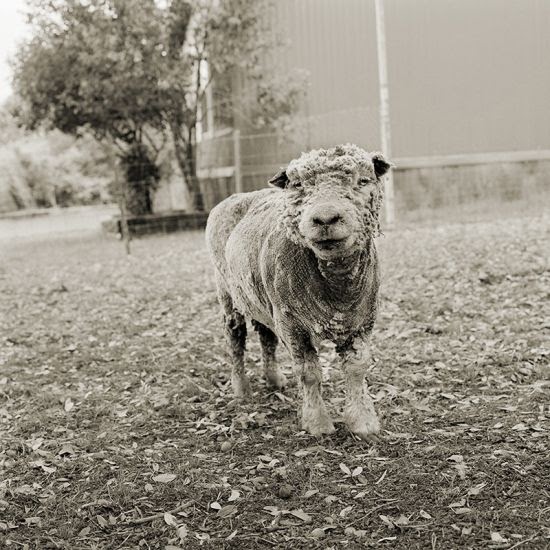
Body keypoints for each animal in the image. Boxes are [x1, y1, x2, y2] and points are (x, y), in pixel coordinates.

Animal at [206, 144, 392, 442]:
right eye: (298, 185)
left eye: (363, 181)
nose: (325, 218)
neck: (337, 290)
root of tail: (241, 195)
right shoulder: (293, 326)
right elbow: (309, 374)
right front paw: (317, 424)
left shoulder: (362, 321)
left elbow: (356, 368)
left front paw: (363, 422)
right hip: (227, 292)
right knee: (235, 338)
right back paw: (242, 388)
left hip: (262, 299)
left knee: (266, 336)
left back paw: (274, 380)